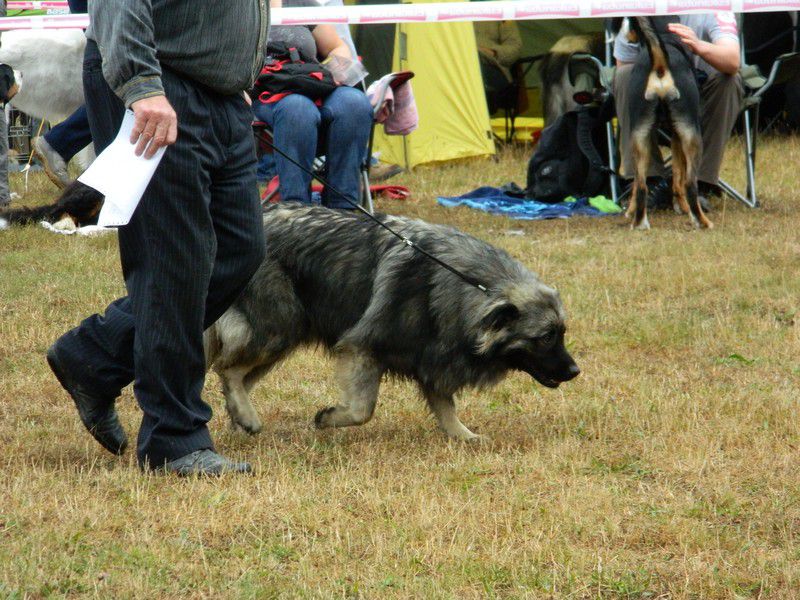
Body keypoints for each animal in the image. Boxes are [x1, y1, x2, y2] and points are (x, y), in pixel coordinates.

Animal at [205, 204, 580, 442]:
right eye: (545, 337)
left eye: (561, 333)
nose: (575, 371)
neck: (469, 285)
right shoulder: (363, 349)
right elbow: (362, 410)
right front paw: (329, 418)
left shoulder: (434, 354)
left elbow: (445, 405)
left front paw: (463, 435)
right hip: (279, 328)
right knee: (229, 370)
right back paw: (247, 417)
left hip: (280, 341)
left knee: (236, 378)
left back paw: (239, 420)